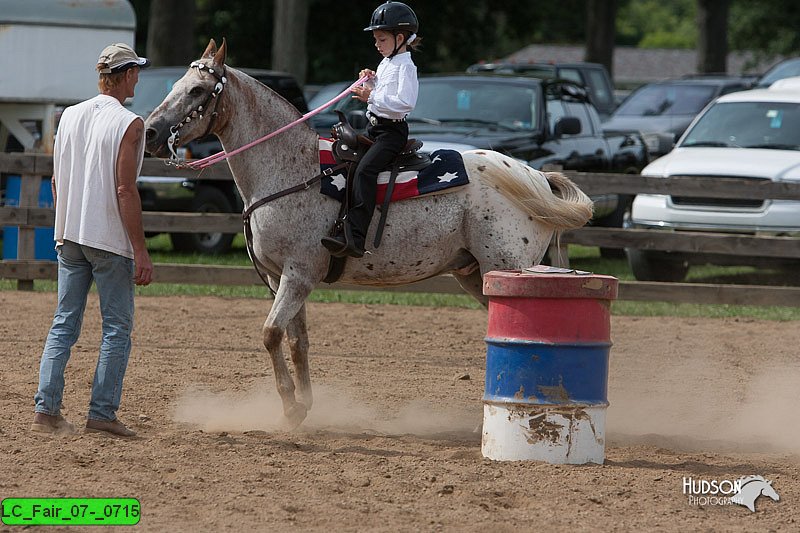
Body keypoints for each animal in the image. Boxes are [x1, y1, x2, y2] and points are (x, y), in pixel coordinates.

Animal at [144, 38, 592, 428]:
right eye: (177, 84)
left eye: (198, 89)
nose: (150, 132)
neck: (292, 169)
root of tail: (535, 177)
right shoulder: (281, 277)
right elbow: (296, 341)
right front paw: (303, 406)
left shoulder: (299, 274)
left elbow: (271, 334)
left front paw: (289, 407)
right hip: (476, 276)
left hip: (507, 269)